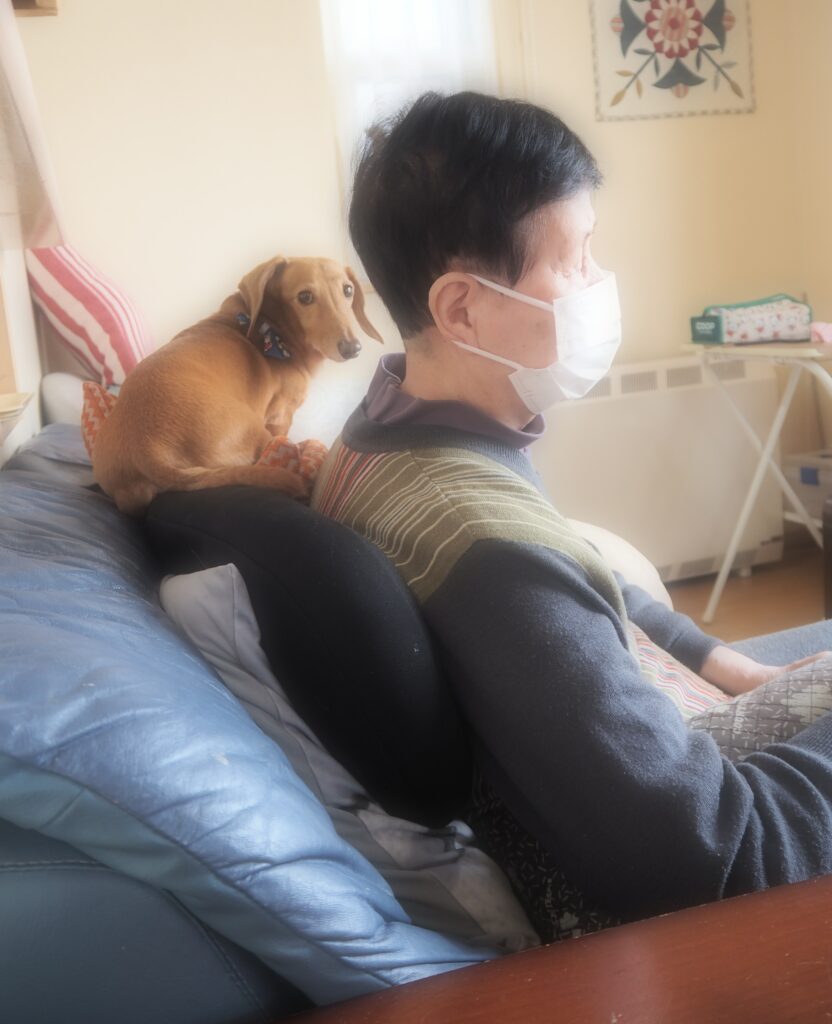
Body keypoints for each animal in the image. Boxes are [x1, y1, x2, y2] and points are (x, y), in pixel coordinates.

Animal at [91, 256, 382, 515]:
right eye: (305, 297)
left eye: (348, 290)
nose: (353, 348)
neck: (272, 329)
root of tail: (149, 452)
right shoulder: (281, 418)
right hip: (257, 434)